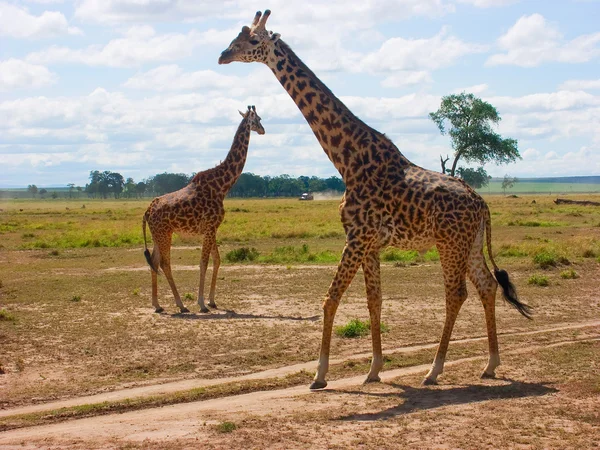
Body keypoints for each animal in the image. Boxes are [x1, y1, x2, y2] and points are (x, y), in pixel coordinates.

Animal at [142, 106, 264, 312]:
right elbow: (204, 262)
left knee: (155, 261)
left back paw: (157, 305)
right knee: (165, 263)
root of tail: (147, 211)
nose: (263, 130)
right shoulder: (209, 227)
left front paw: (212, 301)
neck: (222, 187)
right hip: (164, 233)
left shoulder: (212, 228)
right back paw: (181, 305)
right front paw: (201, 303)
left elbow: (217, 260)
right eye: (257, 119)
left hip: (158, 234)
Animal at [219, 11, 528, 390]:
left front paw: (319, 375)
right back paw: (490, 364)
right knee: (487, 285)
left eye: (251, 41)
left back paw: (434, 370)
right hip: (469, 244)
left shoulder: (356, 236)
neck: (348, 160)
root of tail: (481, 202)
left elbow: (330, 299)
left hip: (449, 244)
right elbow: (373, 301)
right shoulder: (370, 243)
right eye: (236, 36)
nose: (223, 56)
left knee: (456, 293)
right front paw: (374, 369)